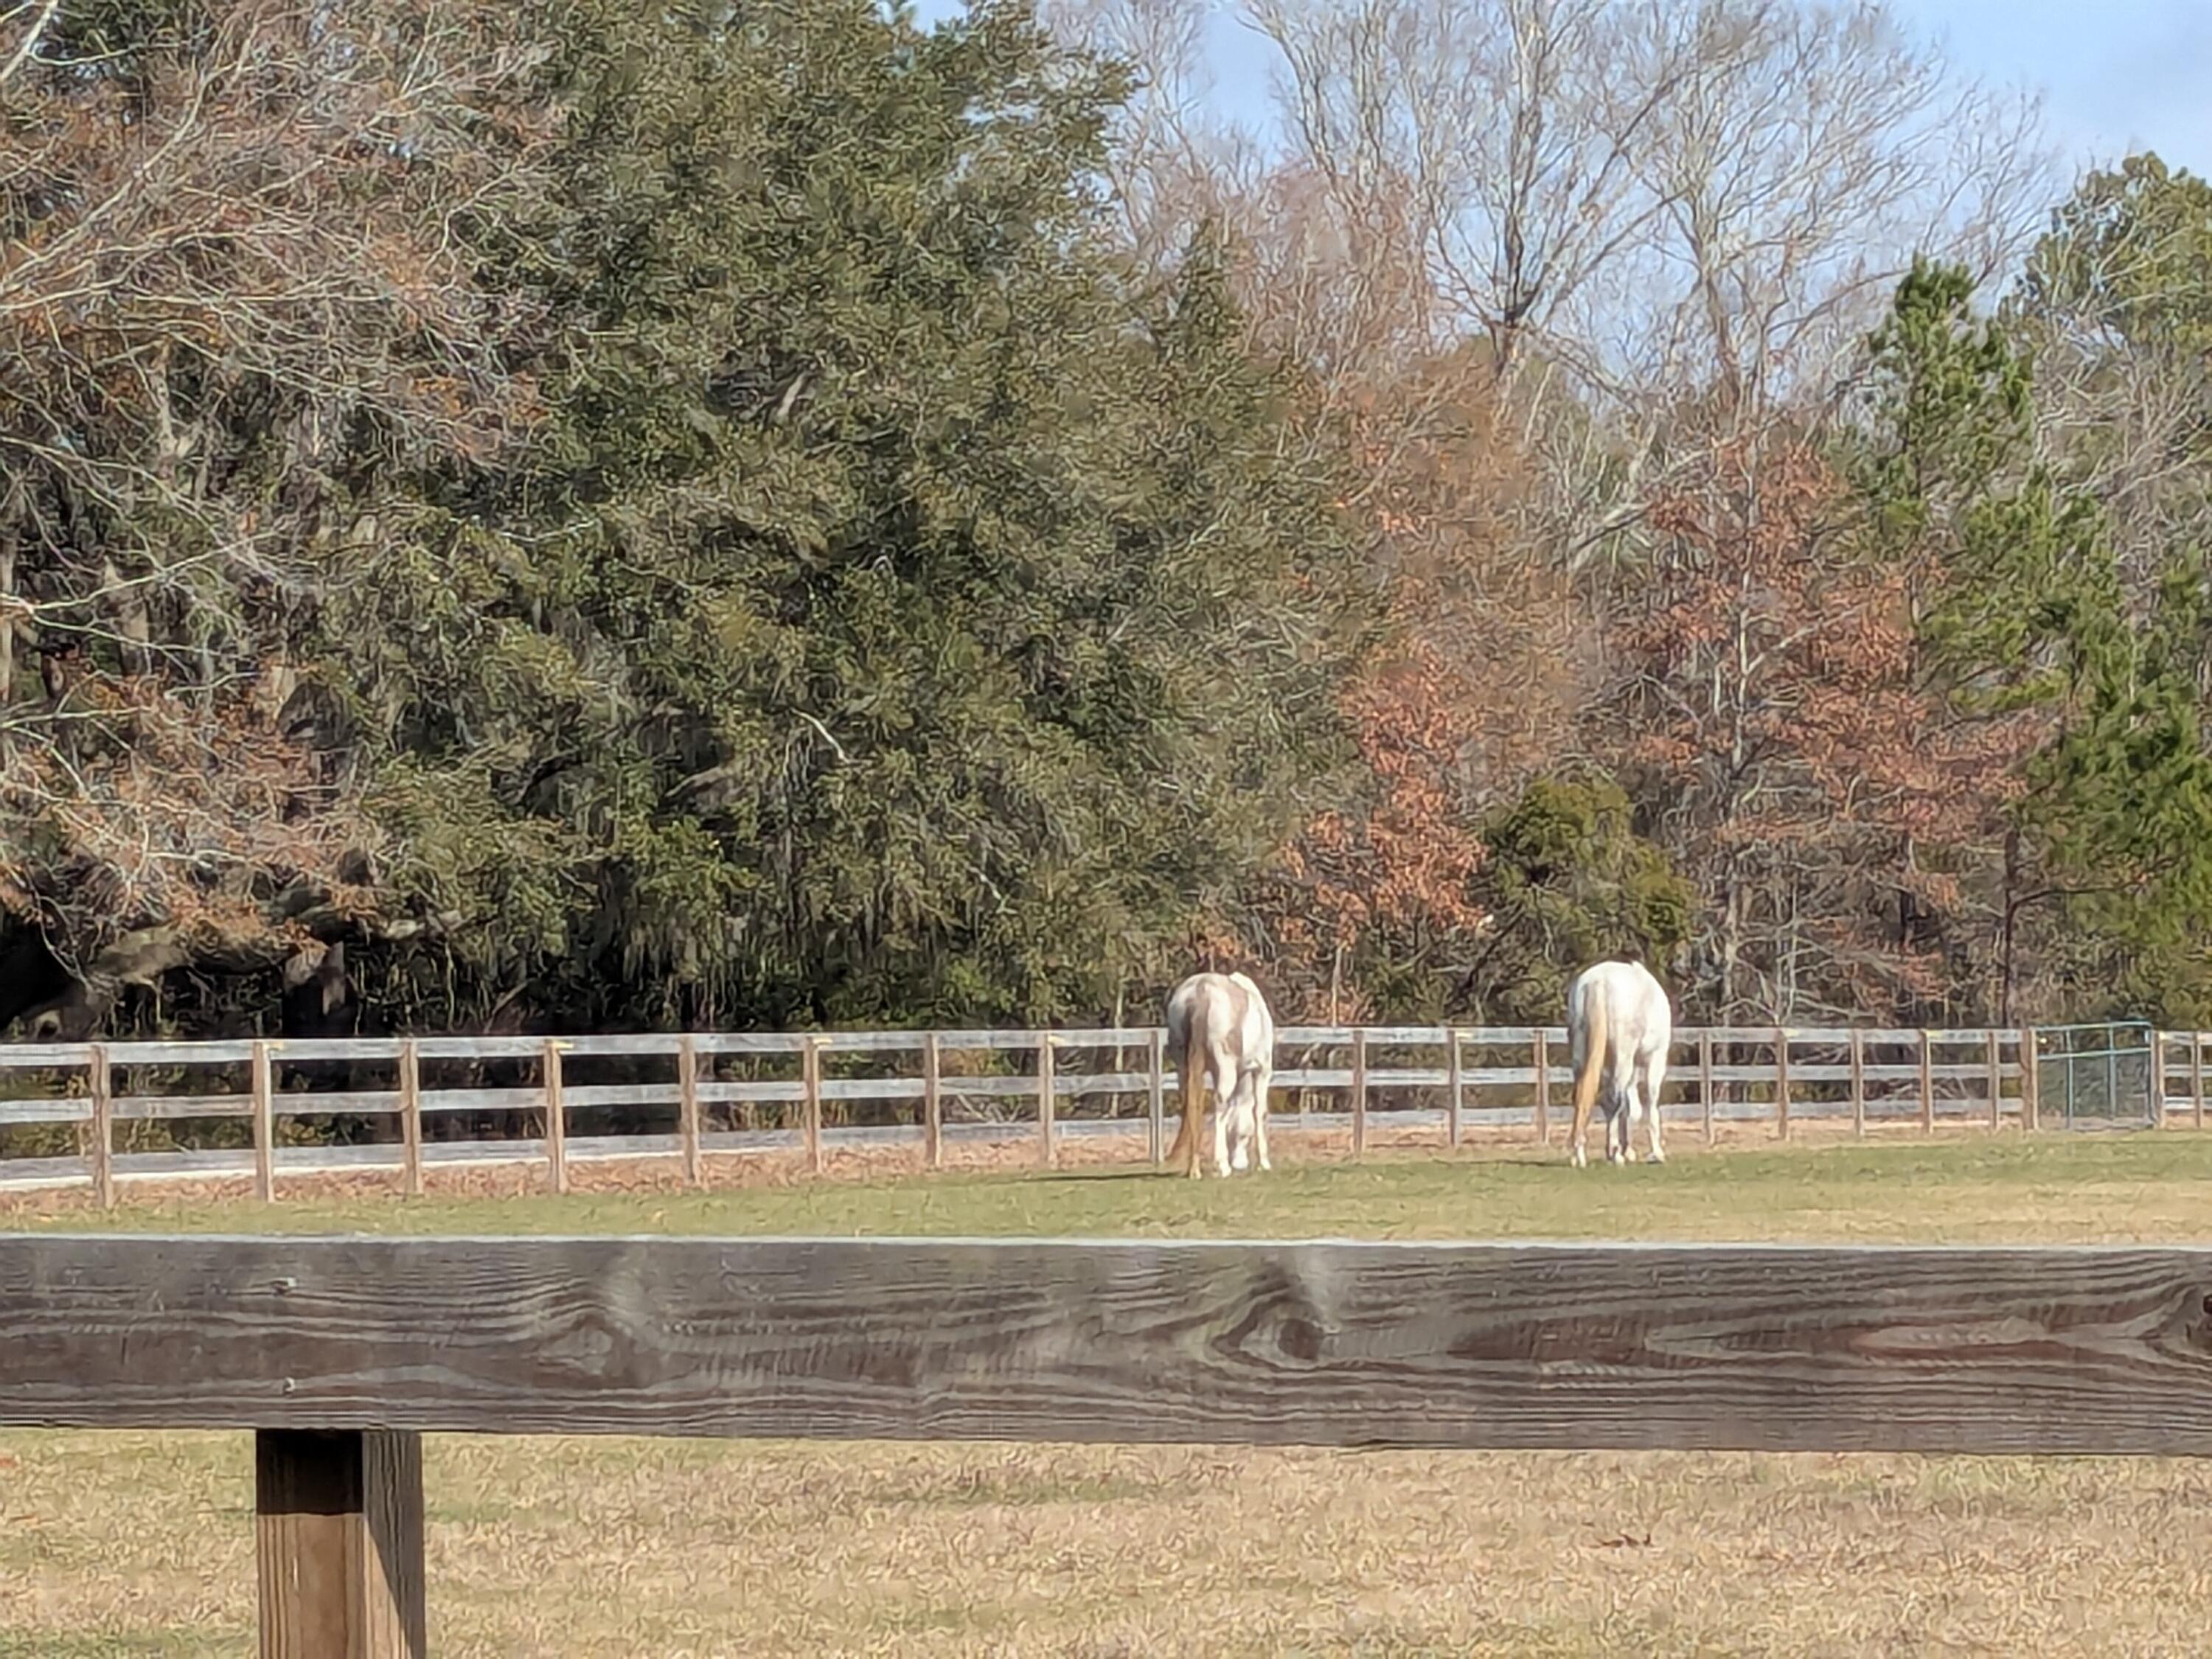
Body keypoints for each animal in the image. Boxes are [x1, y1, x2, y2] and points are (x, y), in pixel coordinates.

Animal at [1162, 970, 1276, 1178]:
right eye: (1244, 1136)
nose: (1240, 1164)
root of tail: (1201, 991)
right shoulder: (1262, 1070)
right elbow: (1259, 1112)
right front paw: (1263, 1162)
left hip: (1184, 1067)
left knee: (1190, 1105)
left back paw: (1194, 1169)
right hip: (1226, 1067)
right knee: (1220, 1107)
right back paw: (1222, 1165)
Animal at [1565, 958, 1673, 1168]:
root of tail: (1598, 981)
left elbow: (1631, 1109)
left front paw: (1627, 1150)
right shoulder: (1655, 1058)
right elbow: (1649, 1105)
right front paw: (1656, 1153)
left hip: (1581, 1057)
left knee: (1584, 1097)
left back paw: (1579, 1155)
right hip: (1625, 1058)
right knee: (1612, 1099)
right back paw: (1616, 1155)